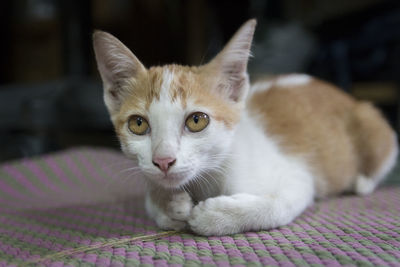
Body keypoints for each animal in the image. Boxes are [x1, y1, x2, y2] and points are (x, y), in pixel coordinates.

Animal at [93, 19, 396, 236]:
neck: (209, 176)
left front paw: (214, 216)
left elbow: (278, 204)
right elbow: (152, 199)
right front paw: (169, 204)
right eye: (138, 124)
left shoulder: (296, 176)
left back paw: (362, 182)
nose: (164, 161)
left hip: (372, 122)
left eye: (196, 120)